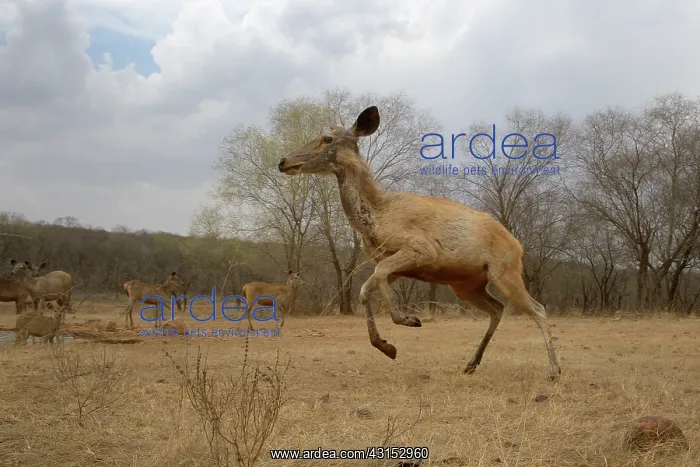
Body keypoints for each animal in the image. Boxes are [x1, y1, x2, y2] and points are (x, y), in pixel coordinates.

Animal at [277, 106, 562, 381]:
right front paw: (386, 346)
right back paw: (471, 364)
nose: (283, 161)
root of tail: (518, 246)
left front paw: (408, 320)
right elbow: (365, 290)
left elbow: (378, 277)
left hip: (505, 271)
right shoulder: (393, 264)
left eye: (327, 138)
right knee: (497, 308)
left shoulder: (422, 249)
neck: (377, 217)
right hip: (467, 284)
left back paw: (554, 370)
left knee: (537, 309)